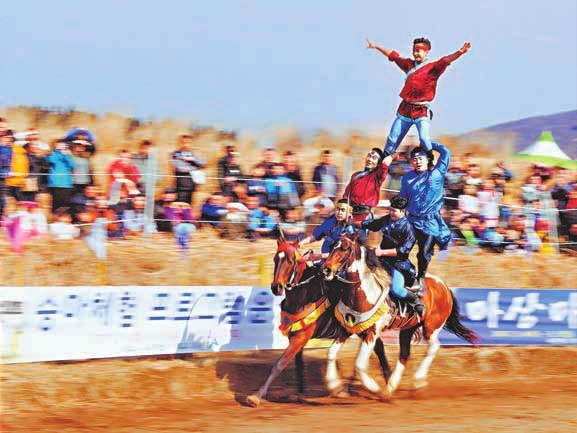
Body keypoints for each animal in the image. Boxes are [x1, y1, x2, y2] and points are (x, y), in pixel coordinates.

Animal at [245, 231, 390, 406]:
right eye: (275, 259)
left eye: (290, 260)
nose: (276, 287)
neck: (304, 294)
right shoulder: (295, 336)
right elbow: (298, 365)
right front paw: (300, 394)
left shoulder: (300, 337)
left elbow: (279, 364)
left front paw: (256, 396)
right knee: (378, 348)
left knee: (378, 350)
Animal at [320, 231, 476, 396]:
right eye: (331, 246)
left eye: (345, 248)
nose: (325, 270)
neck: (364, 293)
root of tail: (444, 286)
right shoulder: (348, 329)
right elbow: (331, 353)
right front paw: (335, 386)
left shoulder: (372, 332)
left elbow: (359, 364)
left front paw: (373, 387)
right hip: (408, 329)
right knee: (404, 354)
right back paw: (391, 387)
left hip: (431, 328)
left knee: (433, 348)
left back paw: (417, 381)